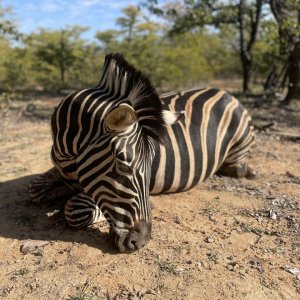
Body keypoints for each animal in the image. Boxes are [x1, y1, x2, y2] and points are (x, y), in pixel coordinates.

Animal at [28, 52, 255, 252]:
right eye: (122, 163)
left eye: (152, 164)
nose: (142, 241)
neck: (68, 156)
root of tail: (224, 92)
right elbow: (34, 188)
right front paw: (53, 190)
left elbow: (75, 209)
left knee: (239, 166)